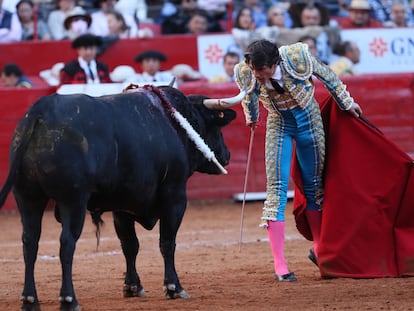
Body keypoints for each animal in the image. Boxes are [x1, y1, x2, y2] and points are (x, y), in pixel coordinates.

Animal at [0, 86, 236, 311]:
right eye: (216, 127)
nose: (227, 155)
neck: (177, 122)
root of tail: (41, 110)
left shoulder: (122, 206)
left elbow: (130, 245)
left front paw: (133, 286)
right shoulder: (175, 197)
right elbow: (167, 242)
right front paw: (173, 287)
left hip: (27, 198)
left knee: (30, 242)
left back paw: (30, 299)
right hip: (72, 201)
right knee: (66, 243)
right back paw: (69, 299)